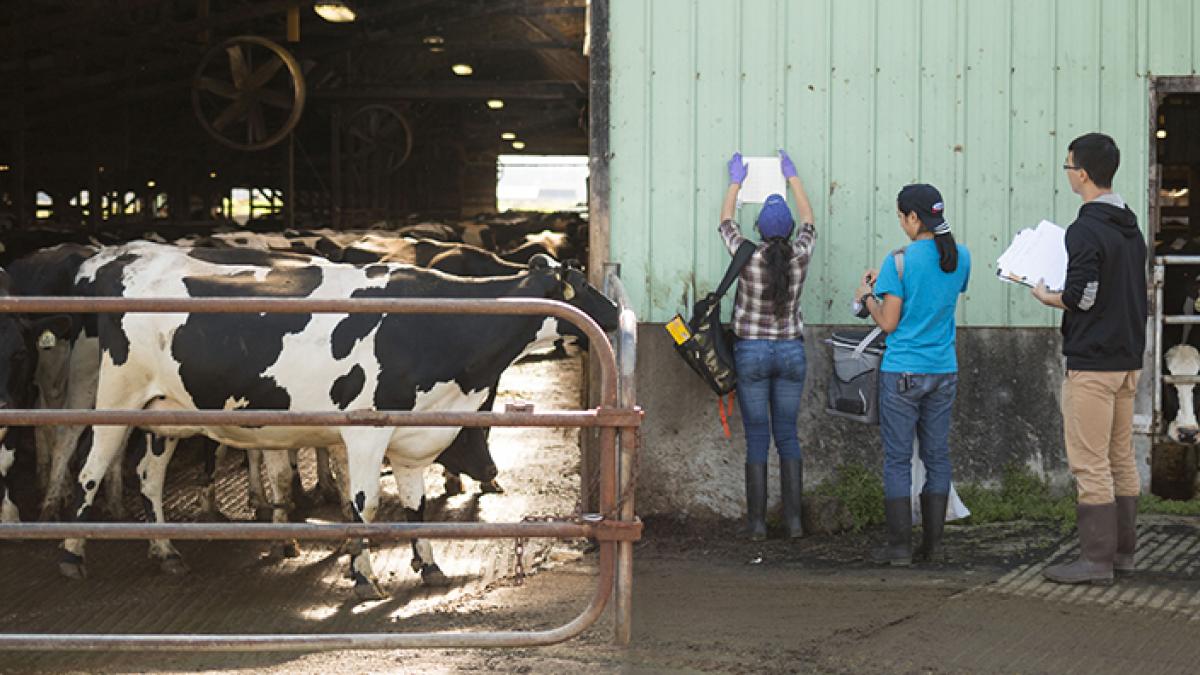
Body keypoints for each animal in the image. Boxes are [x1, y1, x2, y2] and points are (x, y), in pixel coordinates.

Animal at [59, 239, 614, 595]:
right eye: (581, 290)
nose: (612, 315)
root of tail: (125, 259)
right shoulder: (365, 430)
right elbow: (363, 505)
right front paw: (364, 575)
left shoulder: (413, 435)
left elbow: (417, 506)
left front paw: (428, 566)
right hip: (117, 398)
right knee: (89, 471)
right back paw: (71, 554)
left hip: (167, 414)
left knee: (149, 478)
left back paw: (165, 553)